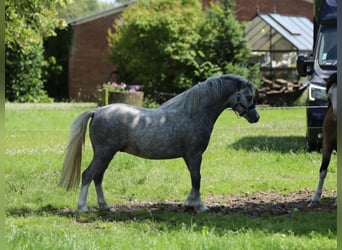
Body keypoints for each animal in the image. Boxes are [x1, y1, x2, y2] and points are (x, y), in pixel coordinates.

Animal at [59, 73, 260, 211]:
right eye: (249, 96)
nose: (256, 117)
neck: (194, 112)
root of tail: (98, 111)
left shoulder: (190, 157)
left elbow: (194, 178)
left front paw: (190, 203)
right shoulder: (194, 155)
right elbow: (197, 178)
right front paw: (199, 206)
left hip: (107, 154)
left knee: (98, 177)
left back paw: (105, 206)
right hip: (104, 153)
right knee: (88, 174)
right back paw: (83, 207)